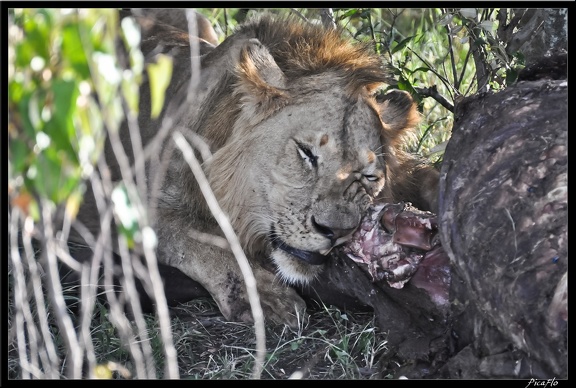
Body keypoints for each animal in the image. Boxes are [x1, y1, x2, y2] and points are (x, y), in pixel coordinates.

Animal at [74, 10, 438, 328]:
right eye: (307, 153)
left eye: (369, 177)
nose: (335, 232)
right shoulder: (128, 206)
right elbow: (205, 240)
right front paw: (266, 299)